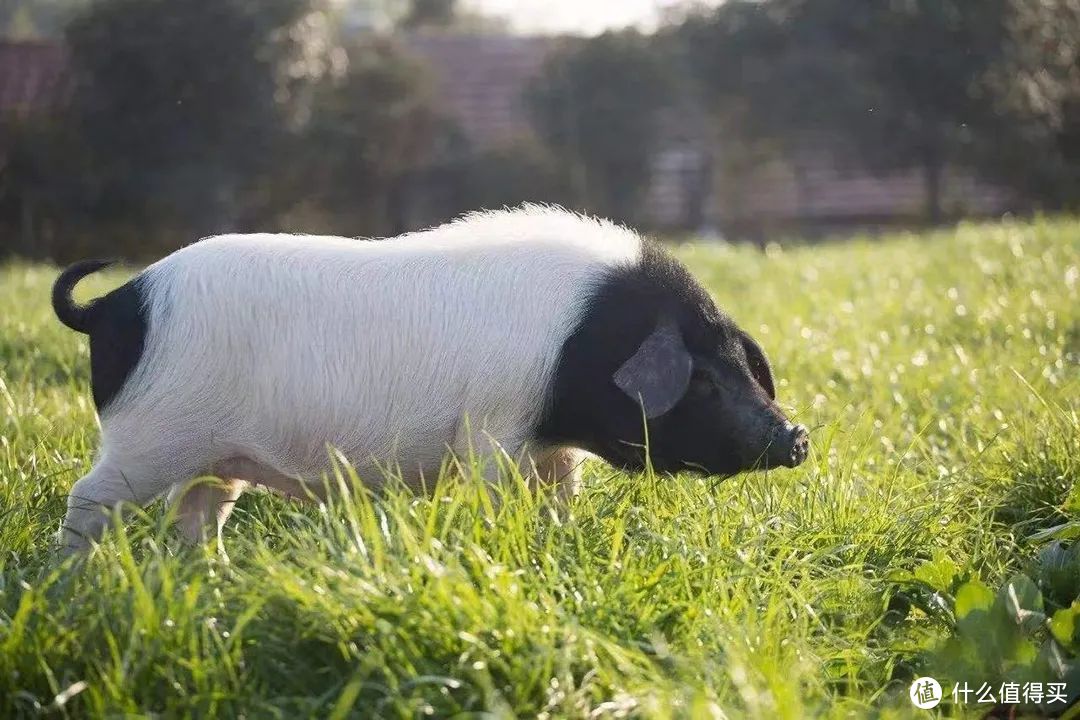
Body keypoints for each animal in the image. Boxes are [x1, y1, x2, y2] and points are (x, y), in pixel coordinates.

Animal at [52, 205, 812, 557]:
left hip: (214, 456)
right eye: (704, 381)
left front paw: (560, 540)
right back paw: (72, 579)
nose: (798, 436)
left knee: (199, 514)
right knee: (89, 497)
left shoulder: (552, 447)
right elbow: (500, 497)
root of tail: (115, 303)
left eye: (743, 365)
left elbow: (561, 494)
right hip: (150, 436)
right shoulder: (495, 429)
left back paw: (207, 577)